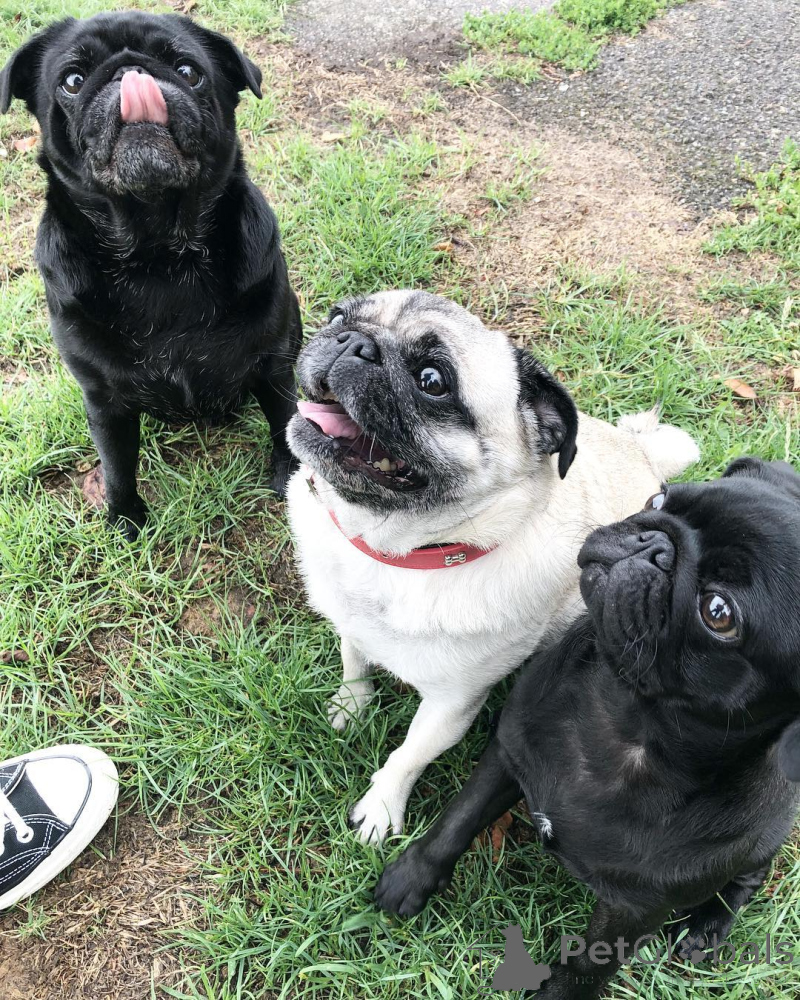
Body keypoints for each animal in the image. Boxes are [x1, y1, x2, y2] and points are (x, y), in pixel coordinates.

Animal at [0, 13, 302, 539]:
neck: (160, 254)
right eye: (72, 81)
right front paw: (124, 519)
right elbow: (117, 464)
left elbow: (283, 419)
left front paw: (292, 478)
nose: (130, 71)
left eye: (188, 71)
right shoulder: (104, 401)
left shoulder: (273, 362)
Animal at [286, 289, 699, 844]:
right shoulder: (350, 622)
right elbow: (355, 660)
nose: (352, 341)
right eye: (336, 316)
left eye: (432, 381)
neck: (401, 553)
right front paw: (352, 702)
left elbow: (408, 755)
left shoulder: (451, 705)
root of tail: (643, 452)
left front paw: (381, 806)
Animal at [375, 457, 800, 999]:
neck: (623, 717)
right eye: (659, 498)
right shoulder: (508, 753)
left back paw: (707, 929)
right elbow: (456, 821)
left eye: (718, 613)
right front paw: (410, 879)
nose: (652, 544)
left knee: (748, 879)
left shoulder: (636, 911)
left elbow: (586, 968)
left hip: (764, 839)